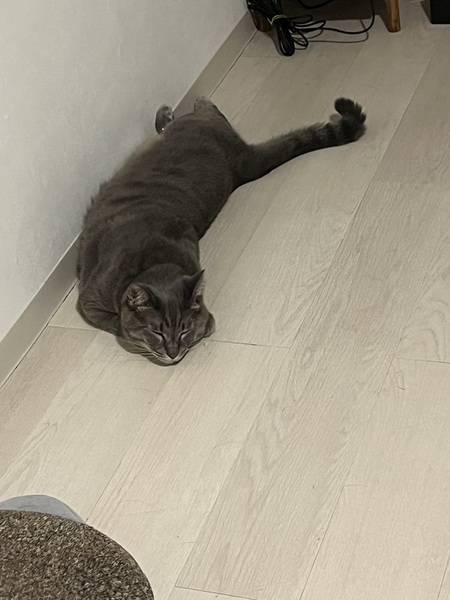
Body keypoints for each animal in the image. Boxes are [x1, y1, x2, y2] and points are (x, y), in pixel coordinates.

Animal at [77, 96, 366, 365]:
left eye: (185, 332)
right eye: (156, 332)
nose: (173, 353)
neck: (152, 261)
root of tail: (241, 165)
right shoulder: (89, 302)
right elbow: (116, 324)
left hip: (198, 126)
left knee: (203, 113)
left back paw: (177, 108)